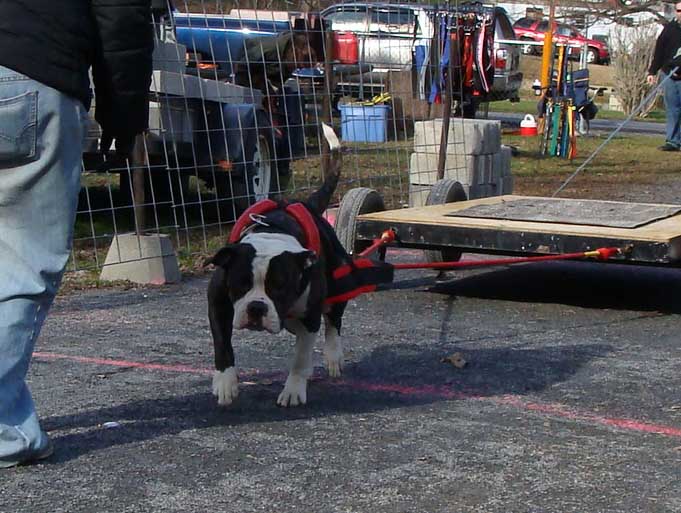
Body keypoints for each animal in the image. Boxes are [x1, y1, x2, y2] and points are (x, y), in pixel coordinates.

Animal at [205, 123, 348, 404]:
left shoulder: (311, 315)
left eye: (280, 288)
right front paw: (225, 382)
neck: (272, 232)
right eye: (240, 284)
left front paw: (293, 390)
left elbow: (301, 357)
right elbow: (222, 344)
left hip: (338, 282)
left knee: (333, 321)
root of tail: (307, 203)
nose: (256, 308)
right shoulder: (217, 301)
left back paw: (333, 356)